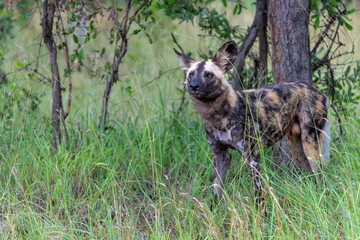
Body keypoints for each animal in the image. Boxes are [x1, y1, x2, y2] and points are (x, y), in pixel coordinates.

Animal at [175, 41, 332, 210]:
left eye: (209, 75)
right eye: (191, 74)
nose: (193, 86)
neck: (219, 116)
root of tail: (317, 91)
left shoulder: (251, 157)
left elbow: (258, 194)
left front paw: (261, 216)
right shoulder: (220, 156)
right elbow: (216, 192)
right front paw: (213, 215)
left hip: (310, 145)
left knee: (321, 175)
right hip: (297, 149)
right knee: (313, 175)